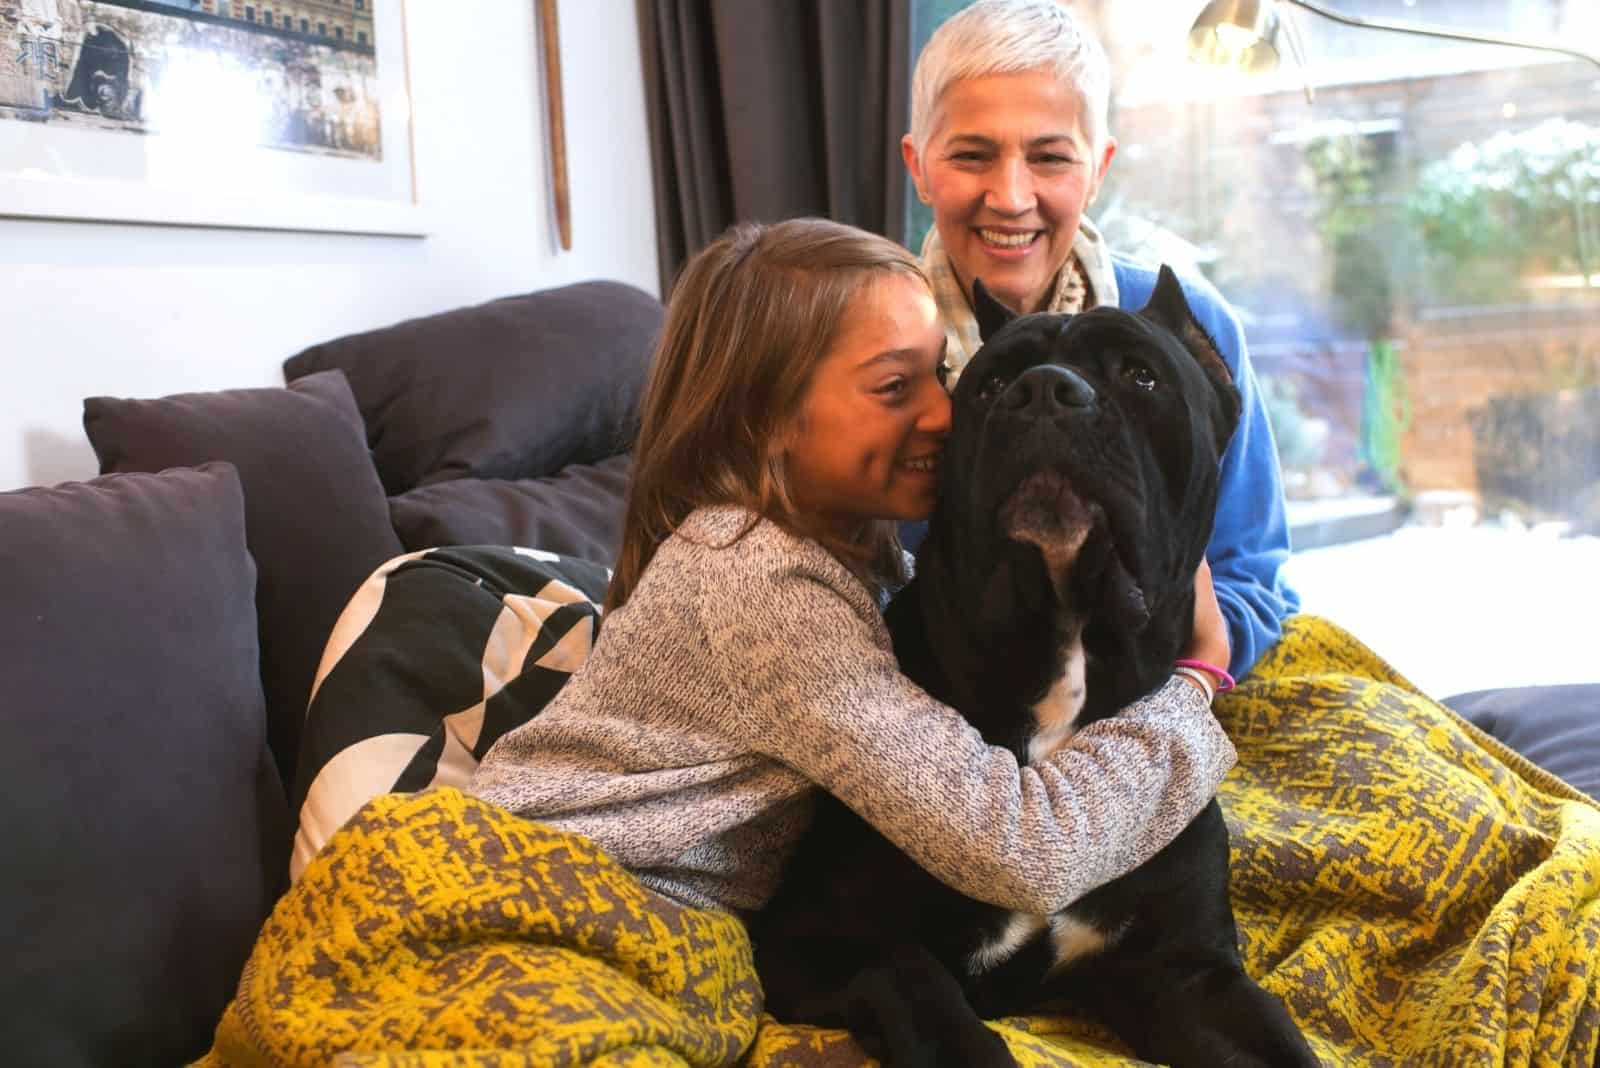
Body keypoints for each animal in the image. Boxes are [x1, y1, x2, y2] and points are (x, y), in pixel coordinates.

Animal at [745, 267, 1312, 1068]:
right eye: (990, 384)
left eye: (1142, 375)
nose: (1045, 389)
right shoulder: (810, 938)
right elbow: (914, 977)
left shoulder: (1191, 974)